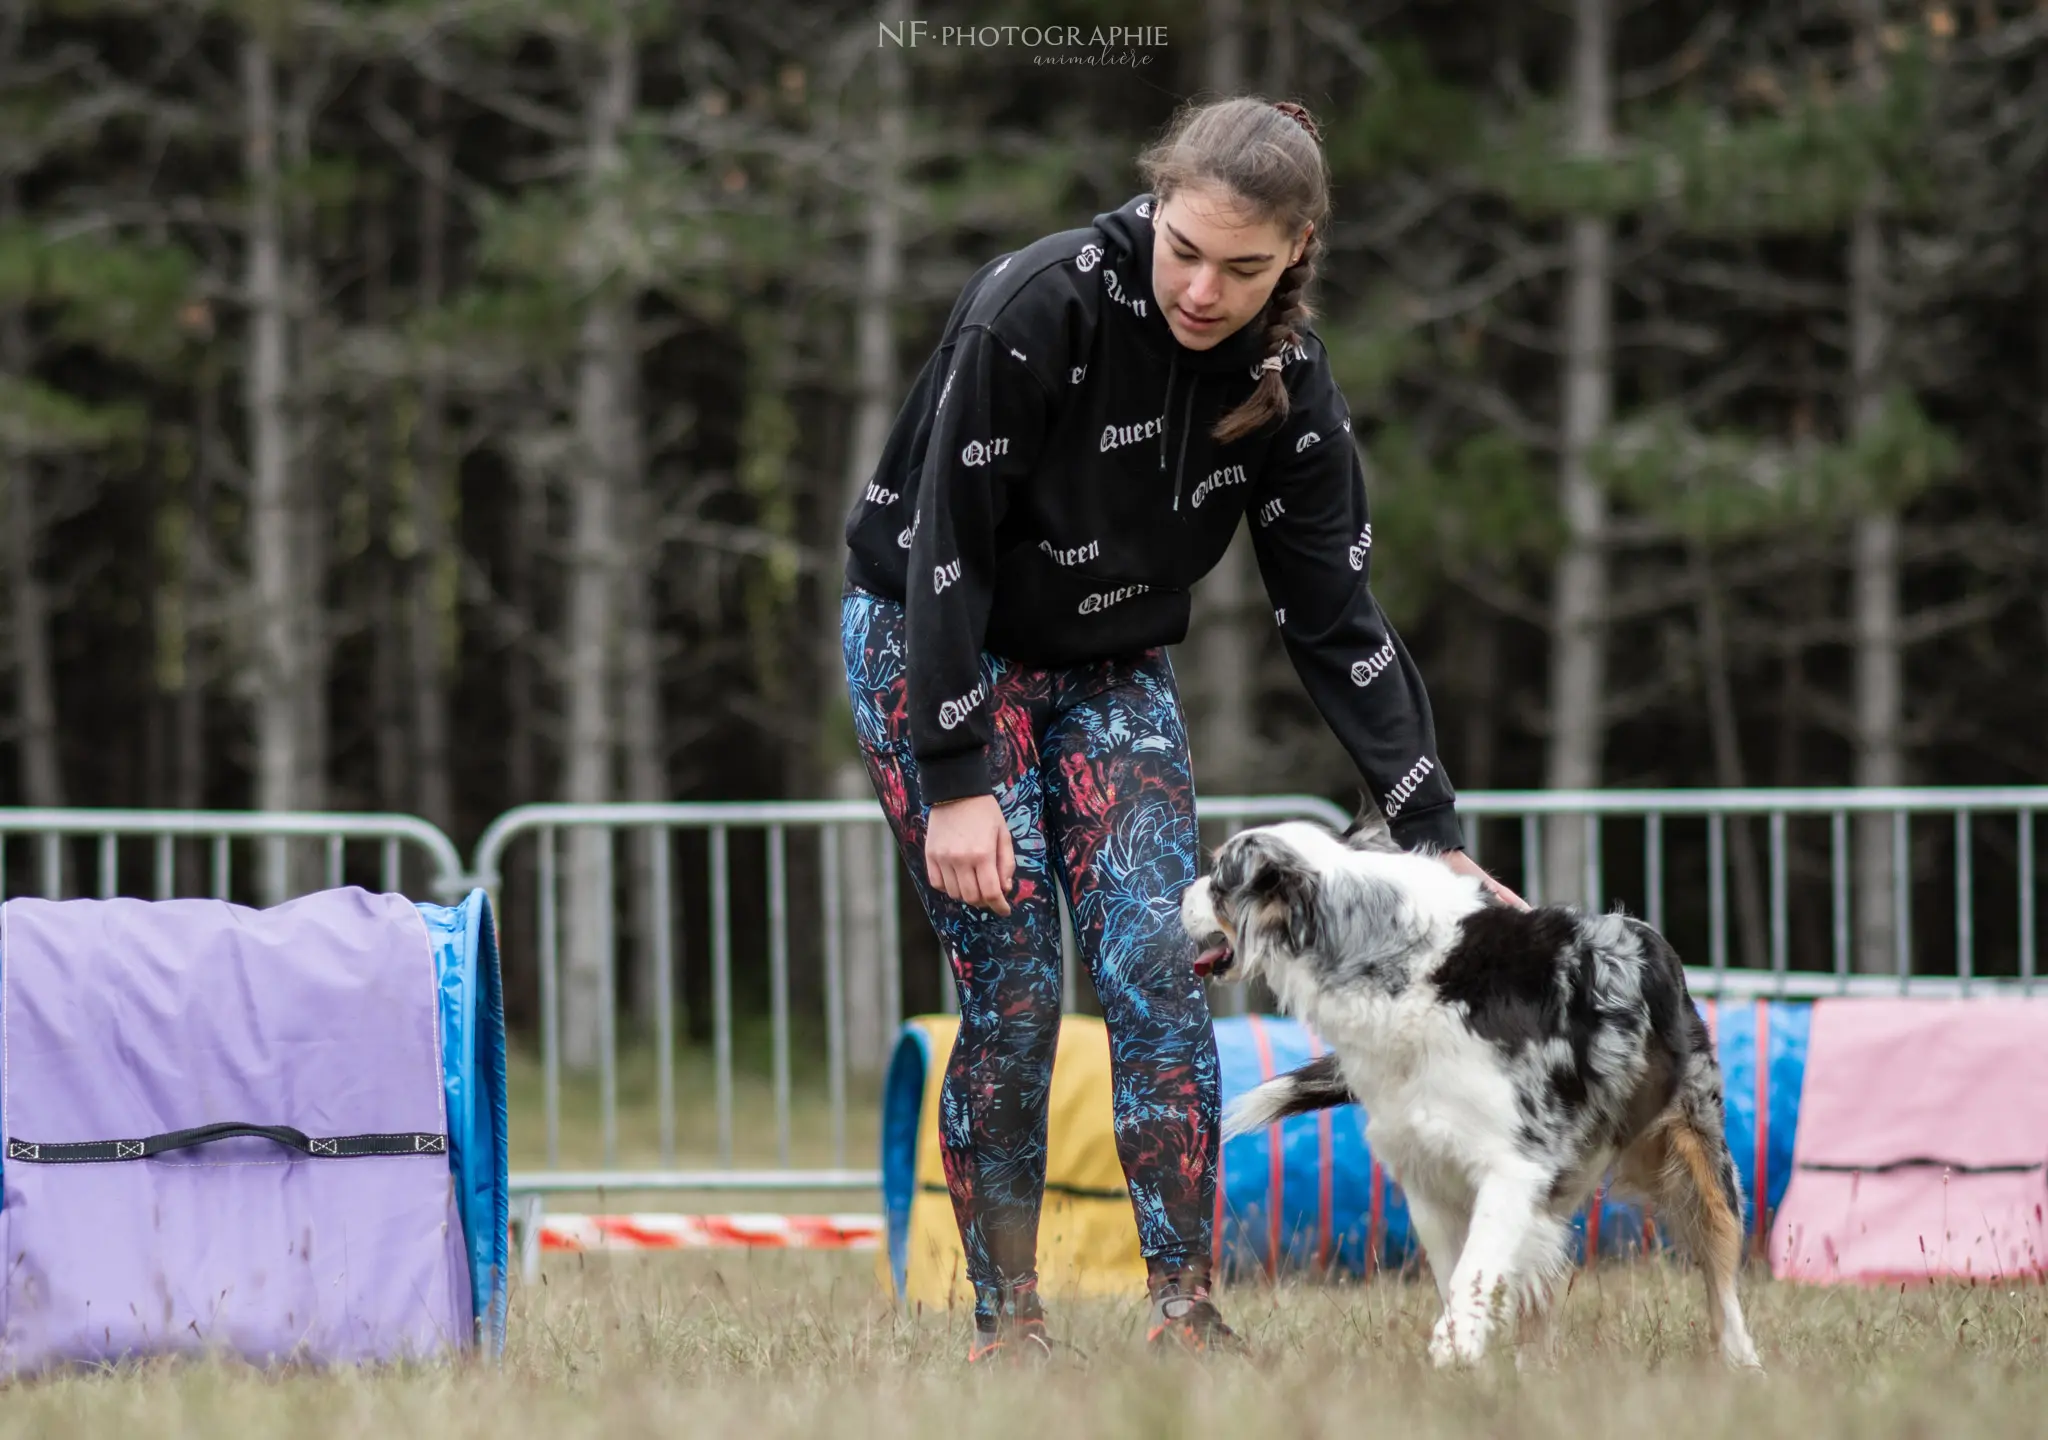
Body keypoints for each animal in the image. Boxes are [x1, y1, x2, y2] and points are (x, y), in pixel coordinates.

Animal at [1187, 811, 1761, 1376]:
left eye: (1218, 883)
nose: (1178, 900)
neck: (1400, 966)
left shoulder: (1516, 1165)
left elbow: (1478, 1267)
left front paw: (1454, 1348)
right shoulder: (1426, 1172)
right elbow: (1456, 1274)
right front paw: (1467, 1367)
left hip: (1697, 1160)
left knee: (1721, 1269)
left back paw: (1742, 1361)